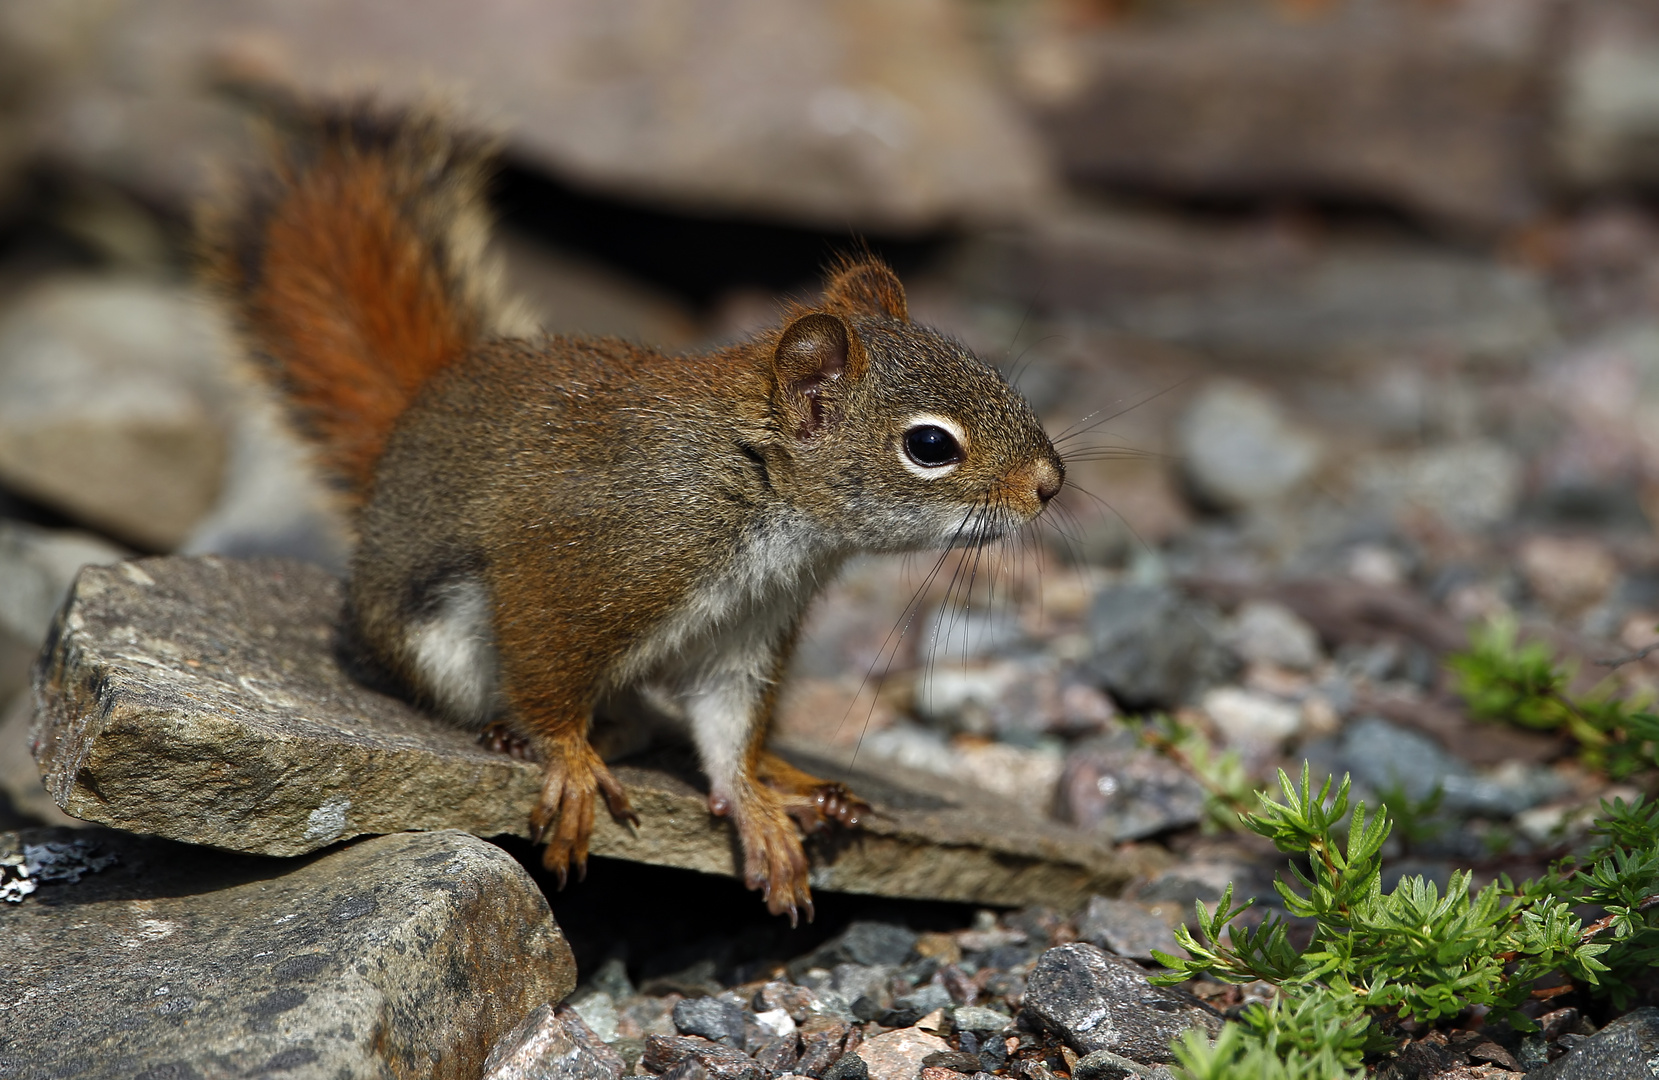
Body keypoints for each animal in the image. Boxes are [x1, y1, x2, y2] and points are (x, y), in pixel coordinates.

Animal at [204, 105, 1061, 922]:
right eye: (929, 445)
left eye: (990, 374)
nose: (1050, 484)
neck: (763, 504)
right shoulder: (588, 562)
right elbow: (549, 673)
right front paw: (569, 763)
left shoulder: (746, 631)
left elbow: (726, 728)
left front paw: (752, 802)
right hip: (441, 644)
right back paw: (527, 734)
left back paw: (791, 779)